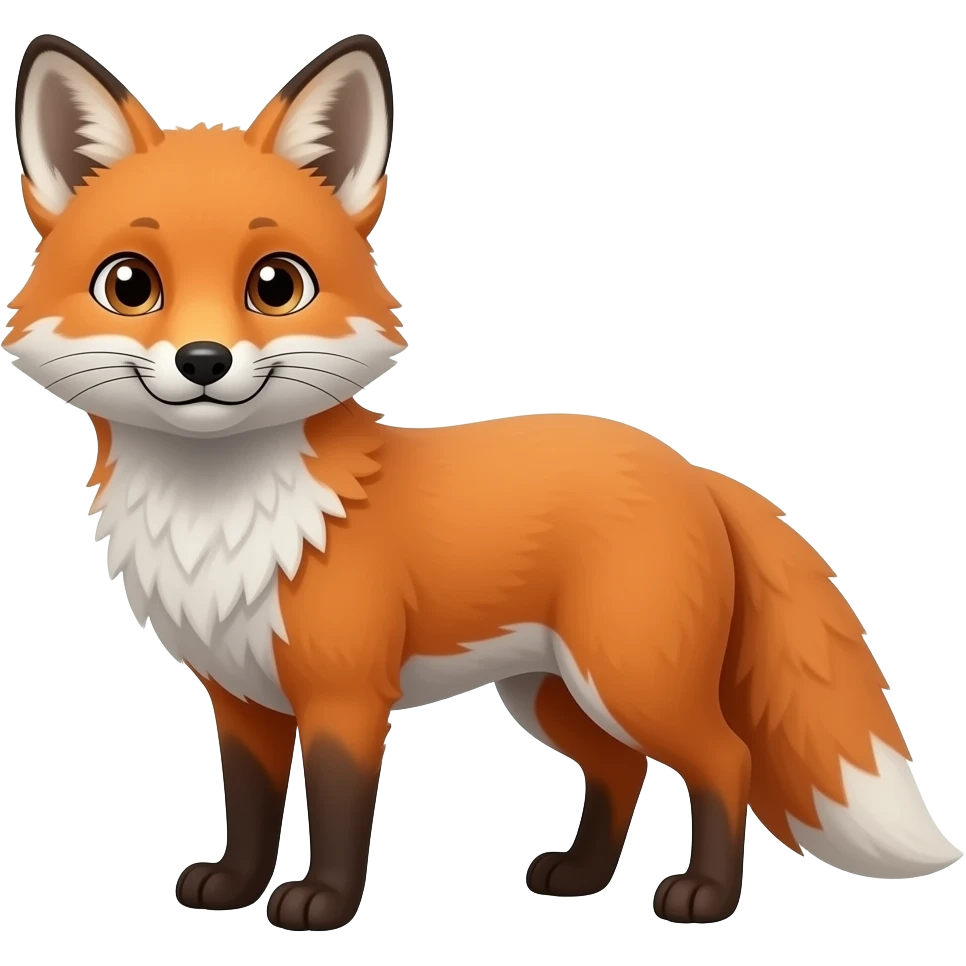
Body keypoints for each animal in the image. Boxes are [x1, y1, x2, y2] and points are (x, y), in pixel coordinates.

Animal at [5, 32, 961, 933]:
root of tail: (692, 468)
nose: (203, 362)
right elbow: (247, 809)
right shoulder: (241, 697)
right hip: (551, 692)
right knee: (622, 767)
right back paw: (581, 876)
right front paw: (235, 889)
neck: (224, 517)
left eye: (275, 284)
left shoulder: (347, 694)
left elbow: (341, 813)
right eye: (131, 284)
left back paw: (705, 896)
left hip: (628, 678)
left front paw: (322, 903)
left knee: (726, 760)